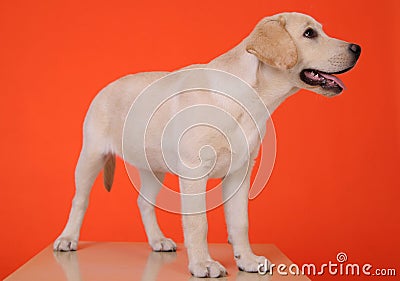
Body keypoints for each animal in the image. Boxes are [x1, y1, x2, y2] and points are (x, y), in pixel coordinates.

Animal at [52, 12, 360, 276]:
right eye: (309, 33)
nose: (357, 47)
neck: (247, 99)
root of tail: (106, 87)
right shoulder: (193, 174)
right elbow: (198, 223)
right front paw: (203, 264)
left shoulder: (240, 174)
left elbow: (240, 222)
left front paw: (247, 259)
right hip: (91, 156)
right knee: (80, 200)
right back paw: (67, 238)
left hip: (154, 166)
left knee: (143, 202)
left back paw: (157, 240)